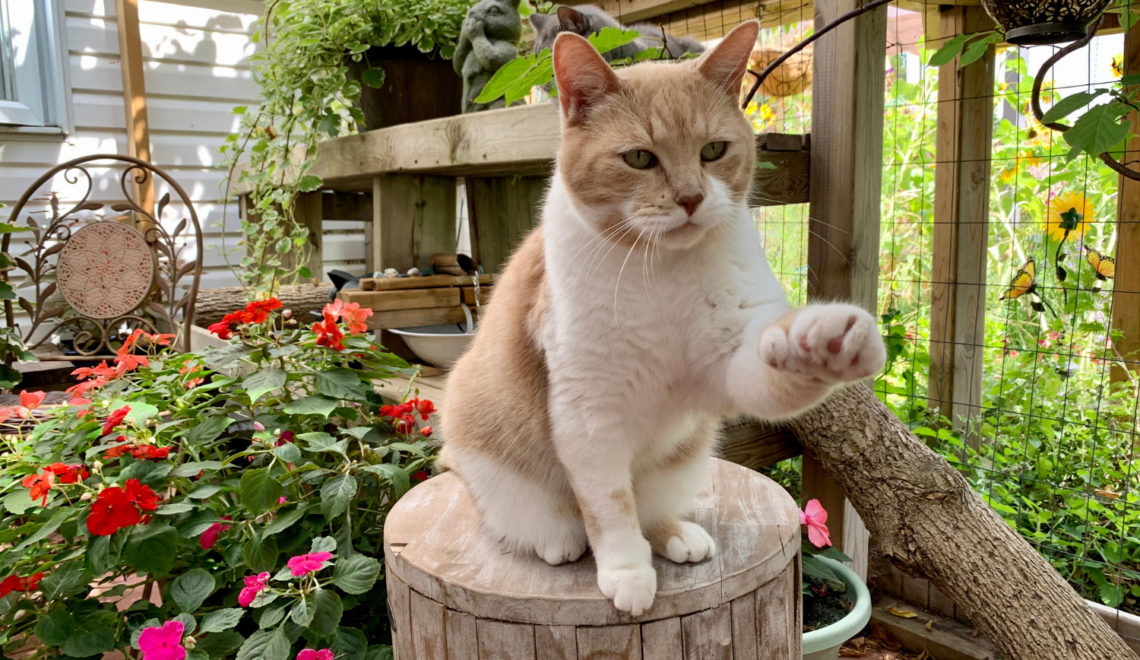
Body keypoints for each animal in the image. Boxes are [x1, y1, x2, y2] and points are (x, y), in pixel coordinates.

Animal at [435, 21, 880, 620]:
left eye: (713, 150)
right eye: (640, 159)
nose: (691, 197)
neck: (659, 272)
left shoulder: (726, 369)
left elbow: (768, 378)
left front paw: (823, 342)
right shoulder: (589, 414)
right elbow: (609, 506)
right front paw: (626, 571)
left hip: (687, 455)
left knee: (652, 509)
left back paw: (676, 534)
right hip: (493, 465)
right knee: (550, 518)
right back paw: (559, 540)